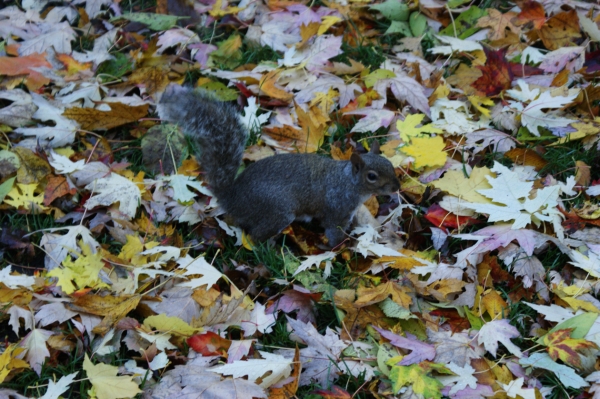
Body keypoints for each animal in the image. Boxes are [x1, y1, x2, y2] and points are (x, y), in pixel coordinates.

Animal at [157, 86, 400, 245]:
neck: (349, 182)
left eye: (389, 164)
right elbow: (334, 233)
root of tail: (232, 198)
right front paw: (343, 247)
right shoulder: (336, 210)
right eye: (372, 176)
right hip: (277, 211)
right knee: (255, 236)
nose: (397, 187)